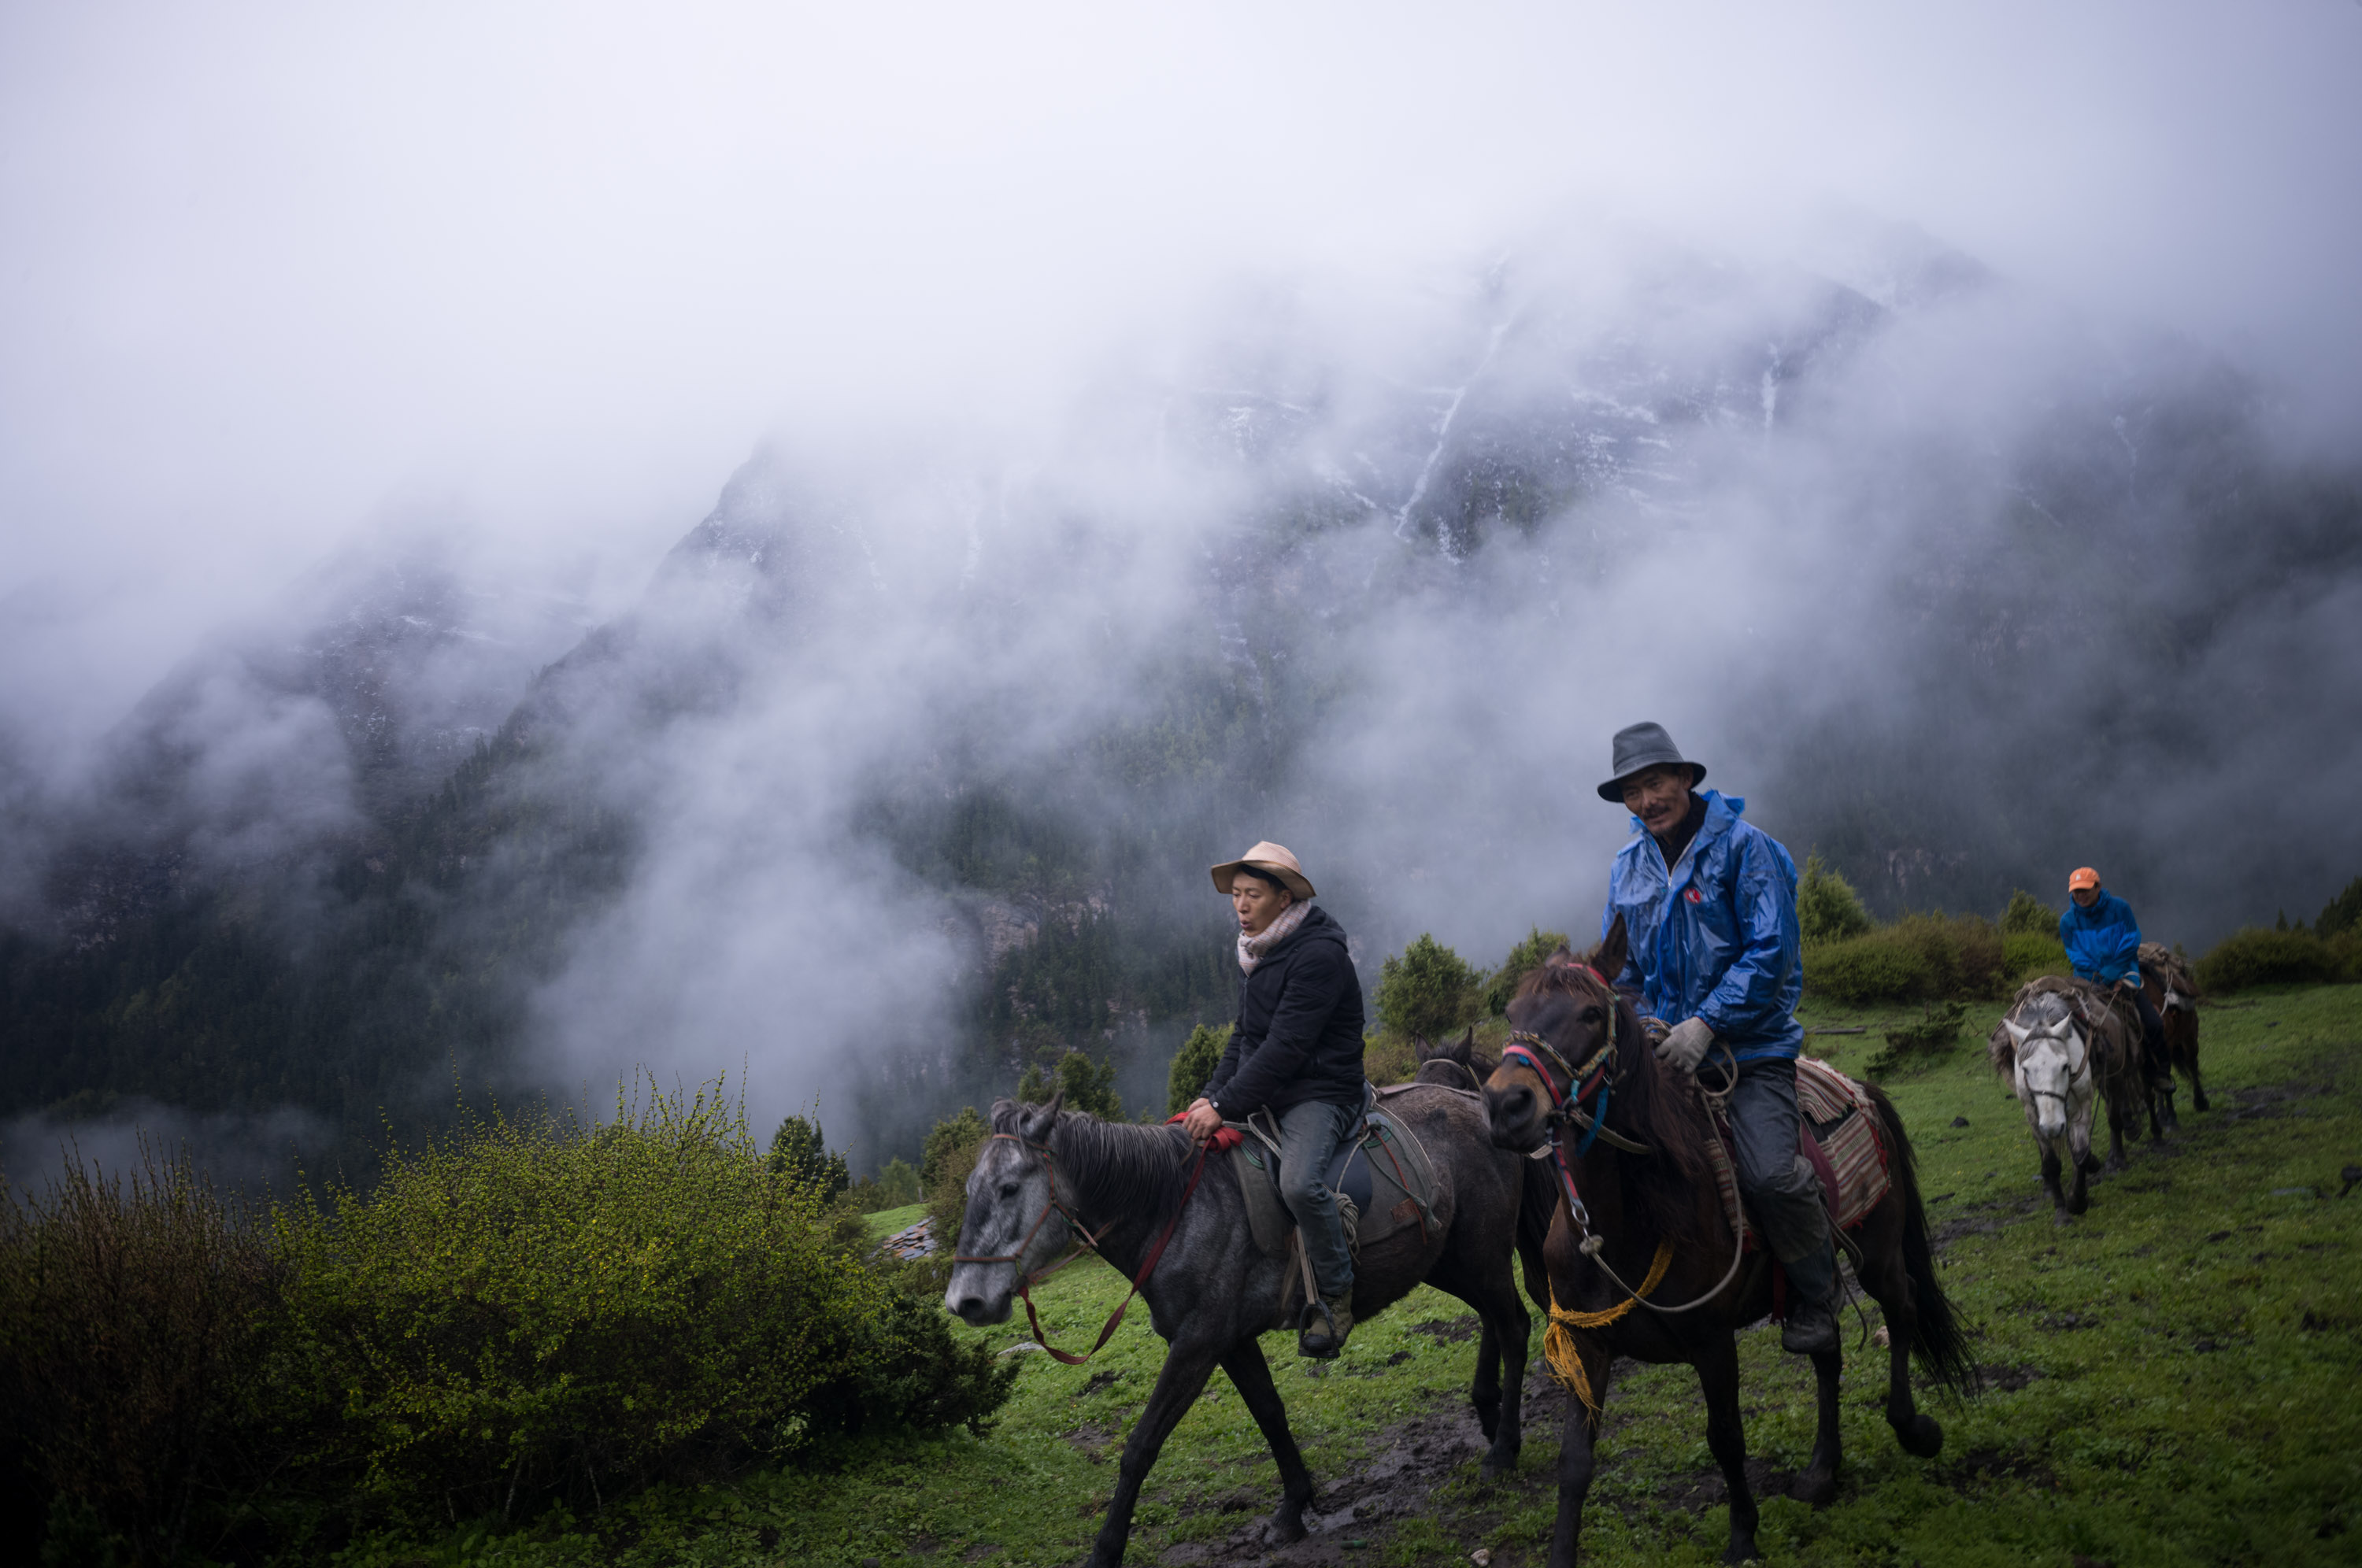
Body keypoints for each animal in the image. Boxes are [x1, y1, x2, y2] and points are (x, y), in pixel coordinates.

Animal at [950, 1091, 1540, 1568]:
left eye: (1008, 1188)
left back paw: (1503, 1449)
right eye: (971, 1188)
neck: (1175, 1210)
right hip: (1453, 1261)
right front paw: (1293, 1508)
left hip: (1478, 1256)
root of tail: (1476, 1102)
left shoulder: (1196, 1346)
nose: (964, 1301)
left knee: (1514, 1326)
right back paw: (1488, 1415)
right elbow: (1271, 1415)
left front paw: (1104, 1551)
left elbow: (1141, 1446)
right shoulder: (1231, 1343)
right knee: (1497, 1318)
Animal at [1474, 921, 1975, 1568]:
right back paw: (1821, 1471)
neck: (1627, 1218)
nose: (1505, 1106)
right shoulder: (1588, 1345)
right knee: (1827, 1349)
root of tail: (1859, 1088)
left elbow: (1727, 1439)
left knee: (1904, 1308)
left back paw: (1914, 1430)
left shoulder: (1711, 1341)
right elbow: (1575, 1462)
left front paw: (1742, 1537)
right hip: (1810, 1291)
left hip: (1881, 1256)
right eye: (1513, 1013)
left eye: (1588, 1012)